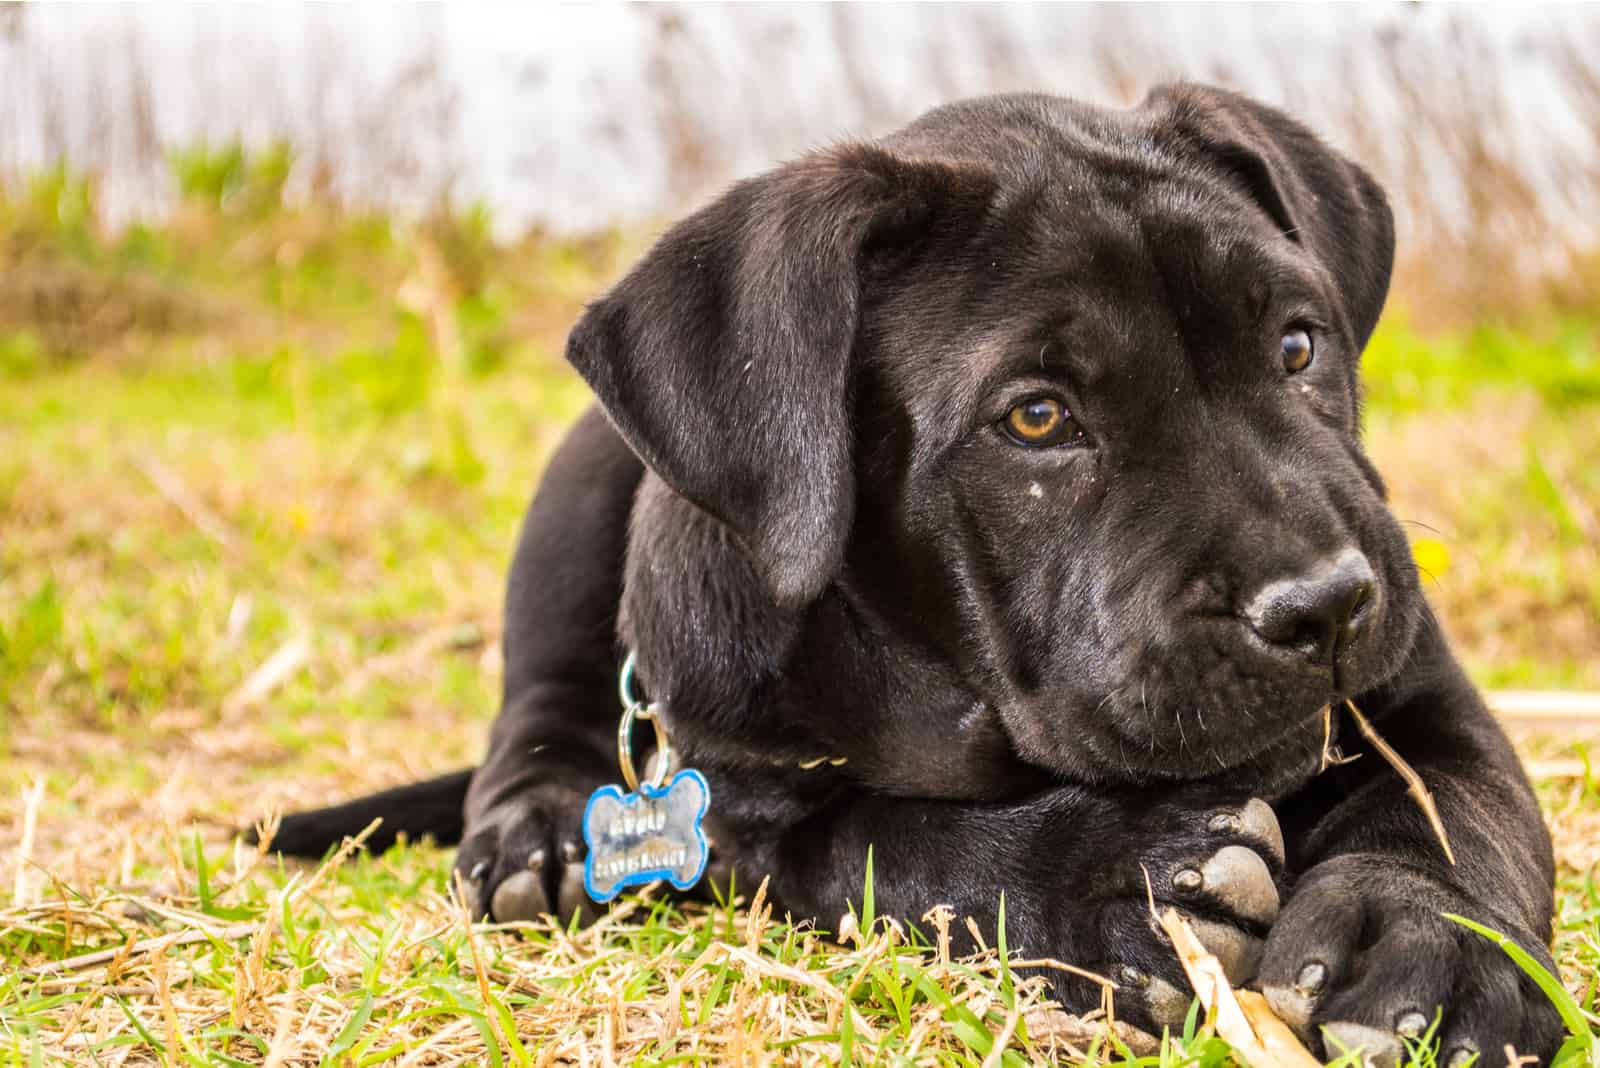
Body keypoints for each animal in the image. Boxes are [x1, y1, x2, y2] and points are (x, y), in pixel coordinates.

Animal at [272, 83, 1561, 1061]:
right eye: (1036, 419)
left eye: (1297, 344)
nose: (1326, 606)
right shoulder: (736, 811)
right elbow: (885, 845)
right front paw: (1110, 883)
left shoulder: (1419, 688)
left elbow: (1454, 802)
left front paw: (1427, 941)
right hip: (572, 502)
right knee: (540, 709)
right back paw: (532, 834)